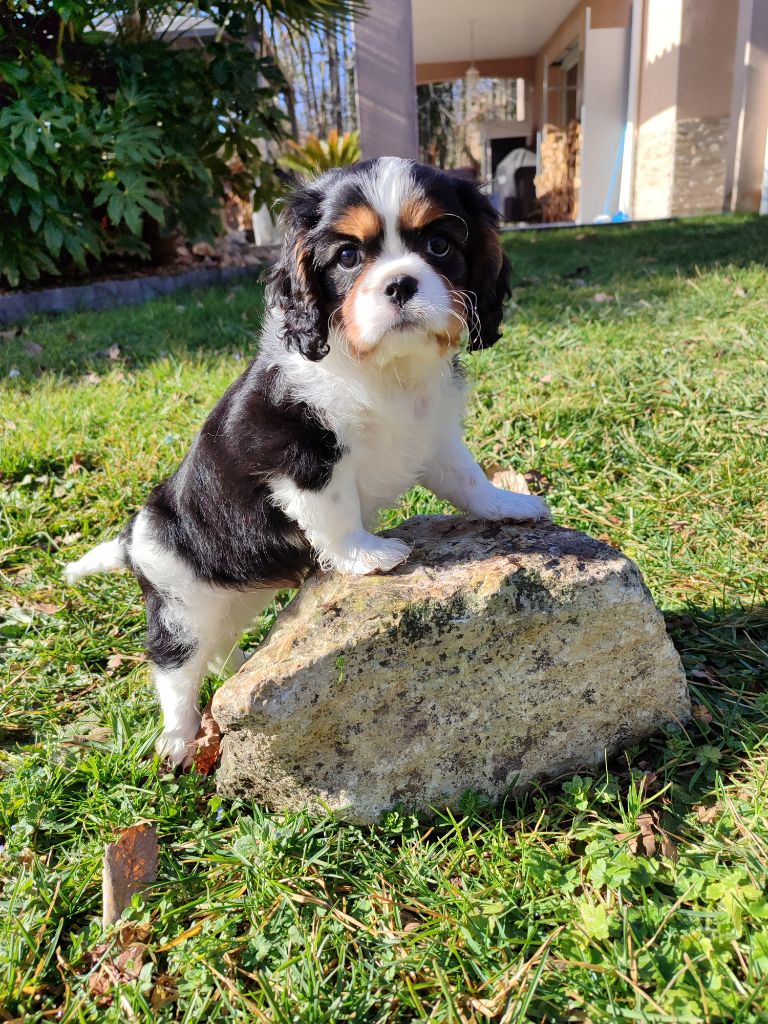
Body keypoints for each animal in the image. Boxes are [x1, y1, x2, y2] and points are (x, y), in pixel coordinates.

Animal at [63, 159, 548, 765]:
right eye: (348, 256)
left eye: (439, 245)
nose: (400, 283)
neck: (381, 369)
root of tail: (133, 537)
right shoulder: (297, 452)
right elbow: (335, 510)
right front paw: (366, 554)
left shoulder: (432, 436)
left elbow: (466, 477)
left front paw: (507, 503)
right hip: (181, 604)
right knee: (175, 670)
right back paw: (178, 738)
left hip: (231, 601)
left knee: (216, 649)